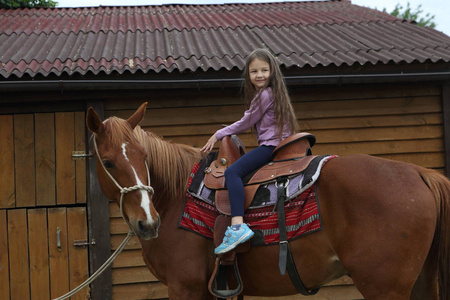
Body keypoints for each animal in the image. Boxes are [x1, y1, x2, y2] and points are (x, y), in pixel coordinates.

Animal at [88, 102, 450, 298]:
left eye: (143, 156)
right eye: (108, 162)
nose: (147, 222)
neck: (177, 196)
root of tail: (420, 173)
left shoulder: (184, 286)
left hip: (385, 287)